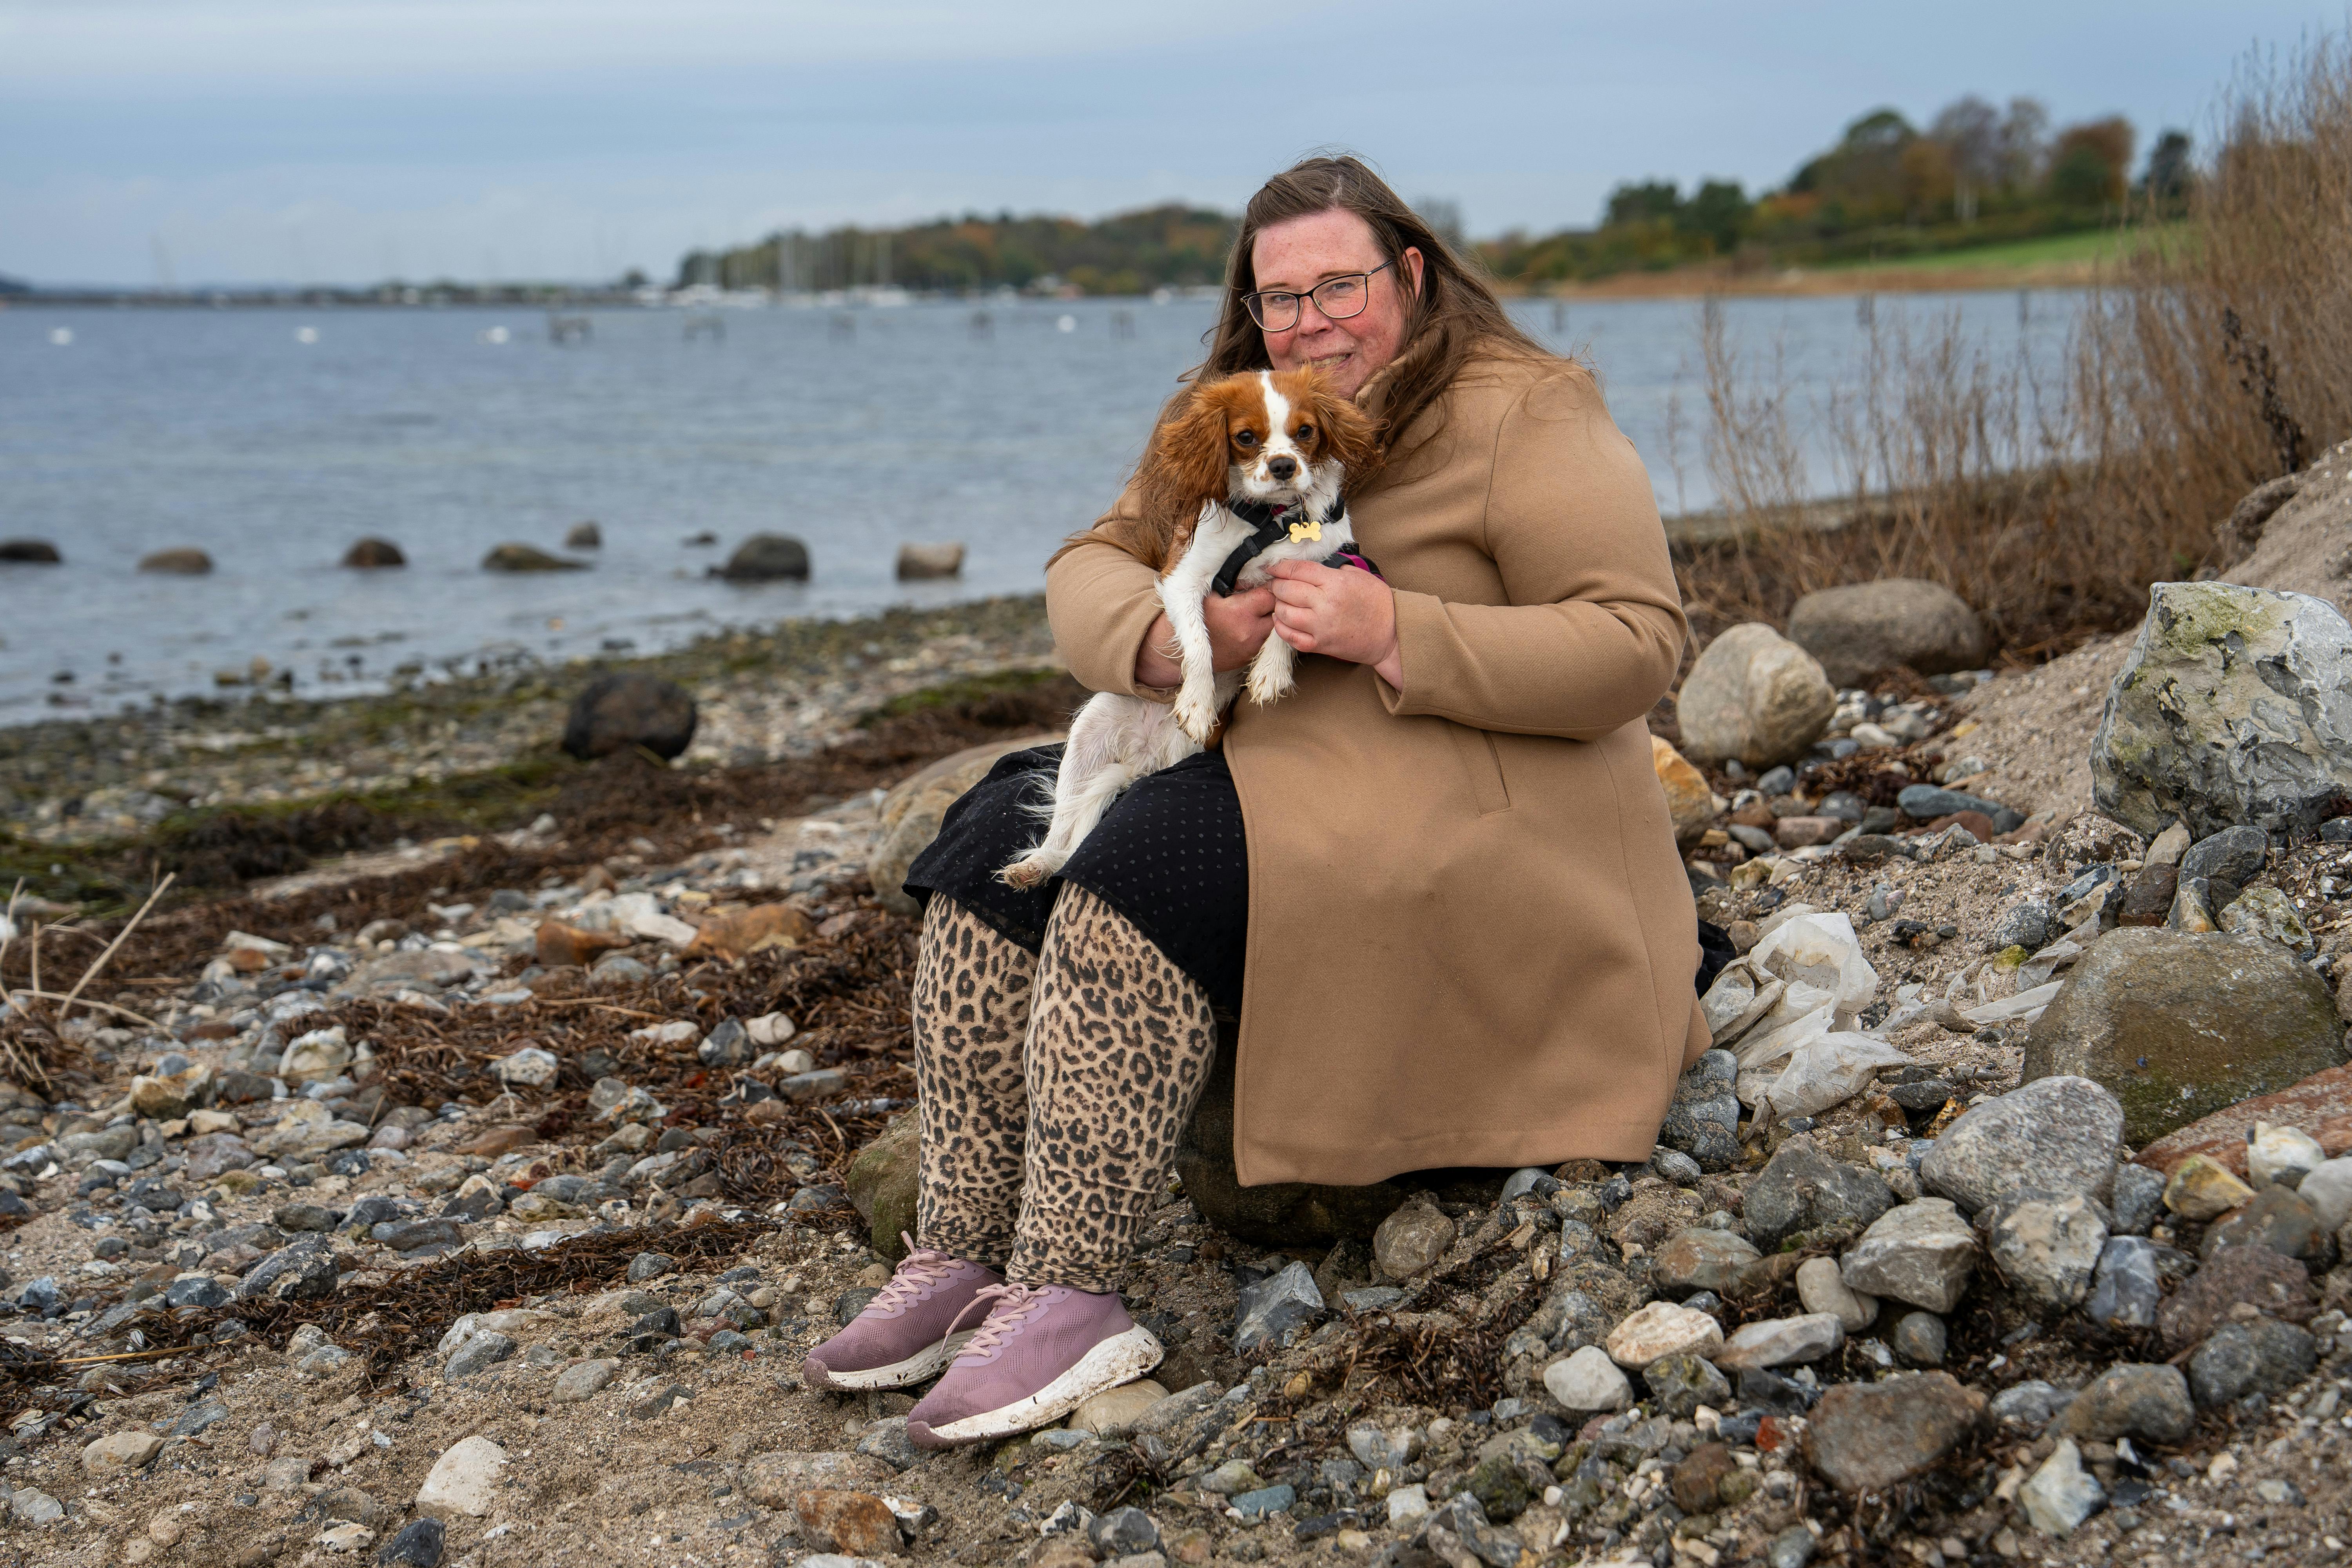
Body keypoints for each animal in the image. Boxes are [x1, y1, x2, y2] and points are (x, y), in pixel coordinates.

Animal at [997, 362, 1374, 888]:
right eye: (1246, 437)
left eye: (1305, 432)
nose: (1283, 466)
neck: (1270, 520)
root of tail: (1144, 758)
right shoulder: (1184, 580)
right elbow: (1198, 642)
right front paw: (1196, 703)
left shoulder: (1319, 570)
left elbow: (1284, 620)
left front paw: (1269, 672)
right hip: (1088, 735)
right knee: (1062, 827)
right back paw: (1035, 865)